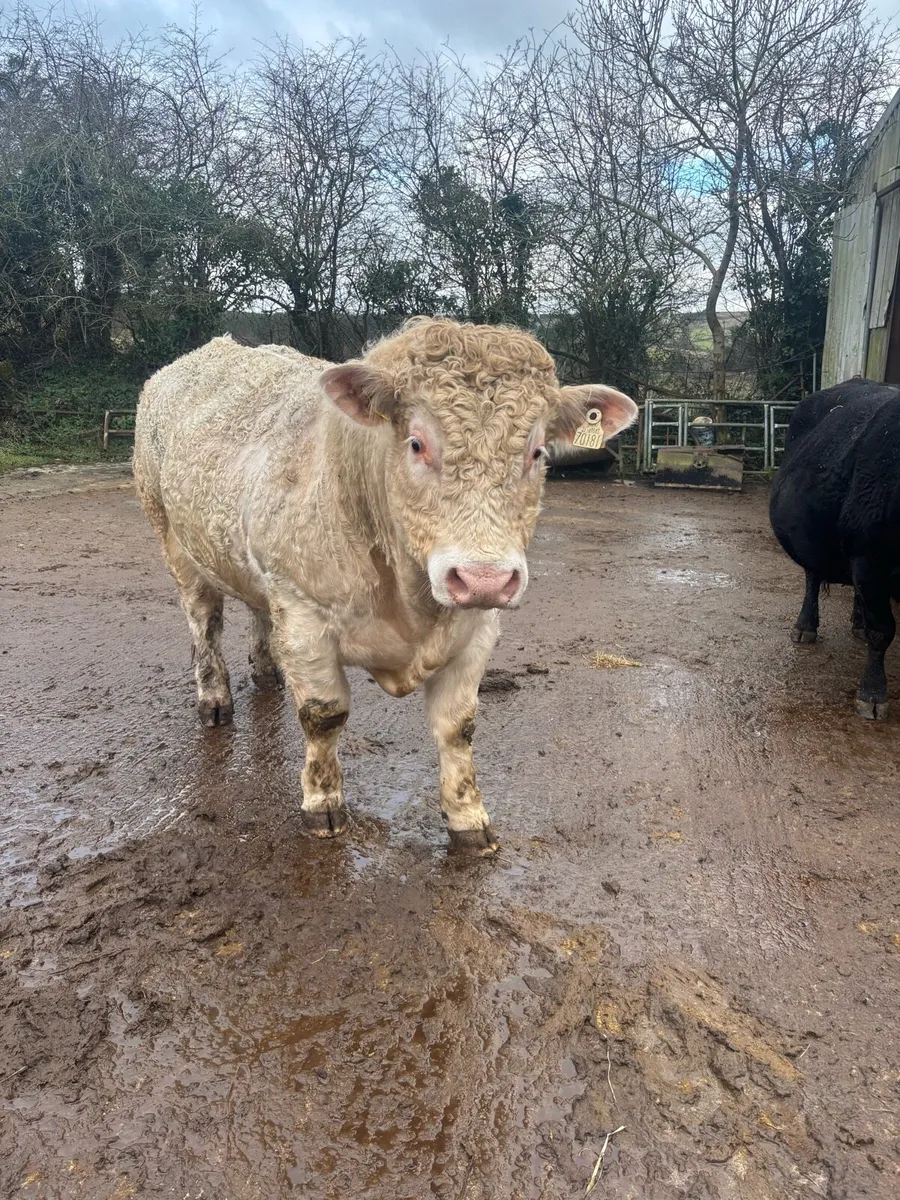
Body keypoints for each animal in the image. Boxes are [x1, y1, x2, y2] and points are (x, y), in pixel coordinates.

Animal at [133, 318, 638, 852]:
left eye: (537, 451)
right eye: (416, 443)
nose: (484, 578)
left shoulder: (478, 627)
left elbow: (458, 726)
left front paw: (468, 818)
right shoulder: (301, 608)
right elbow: (324, 715)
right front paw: (323, 804)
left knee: (255, 608)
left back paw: (267, 672)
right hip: (171, 537)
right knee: (204, 621)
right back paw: (214, 699)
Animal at [769, 378, 900, 720]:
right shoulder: (870, 558)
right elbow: (883, 630)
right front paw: (873, 695)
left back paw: (857, 623)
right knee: (812, 578)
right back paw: (805, 628)